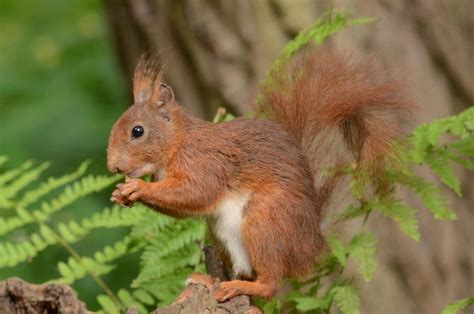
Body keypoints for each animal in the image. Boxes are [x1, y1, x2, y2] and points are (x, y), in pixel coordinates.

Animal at [105, 46, 410, 302]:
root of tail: (309, 244)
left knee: (270, 284)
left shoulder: (207, 163)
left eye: (137, 131)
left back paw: (240, 287)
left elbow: (195, 192)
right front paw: (122, 194)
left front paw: (138, 188)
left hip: (264, 219)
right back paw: (212, 280)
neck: (178, 142)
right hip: (221, 234)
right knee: (244, 270)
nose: (113, 167)